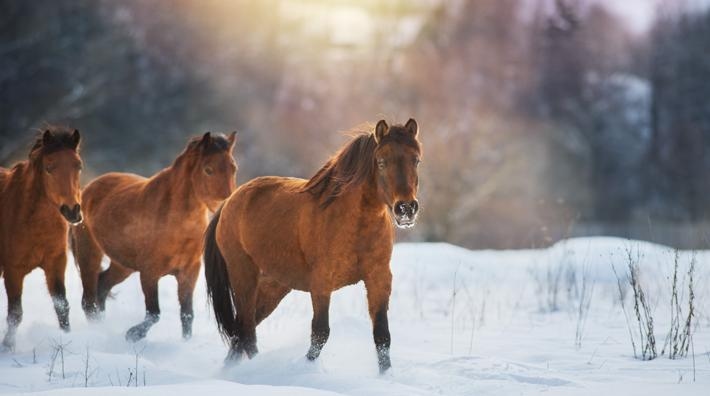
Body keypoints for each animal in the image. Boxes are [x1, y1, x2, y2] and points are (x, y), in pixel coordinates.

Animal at [0, 128, 82, 352]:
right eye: (49, 168)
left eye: (78, 166)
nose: (72, 210)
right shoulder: (13, 270)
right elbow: (15, 314)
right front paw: (8, 347)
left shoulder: (56, 264)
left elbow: (62, 306)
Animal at [73, 131, 239, 342]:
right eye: (208, 170)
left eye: (233, 168)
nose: (226, 206)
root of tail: (88, 189)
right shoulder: (149, 273)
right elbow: (154, 313)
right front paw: (133, 334)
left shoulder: (189, 272)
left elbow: (187, 315)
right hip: (90, 255)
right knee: (89, 300)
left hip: (123, 265)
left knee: (101, 287)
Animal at [204, 117, 422, 372]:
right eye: (381, 162)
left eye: (416, 159)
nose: (406, 208)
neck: (353, 224)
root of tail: (230, 201)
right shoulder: (321, 283)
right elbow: (320, 334)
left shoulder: (378, 279)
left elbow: (382, 336)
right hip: (243, 275)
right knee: (247, 330)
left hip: (273, 286)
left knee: (242, 331)